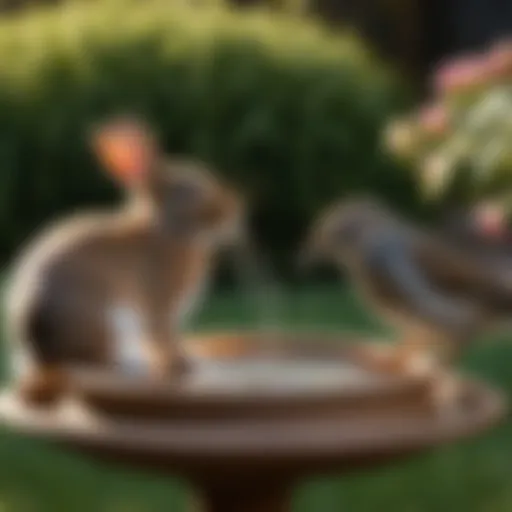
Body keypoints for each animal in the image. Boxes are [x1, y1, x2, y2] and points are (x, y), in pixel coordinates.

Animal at [5, 117, 246, 404]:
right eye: (193, 188)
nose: (234, 210)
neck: (167, 227)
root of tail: (44, 356)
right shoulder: (160, 309)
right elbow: (163, 338)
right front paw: (182, 365)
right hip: (107, 324)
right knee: (98, 363)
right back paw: (133, 367)